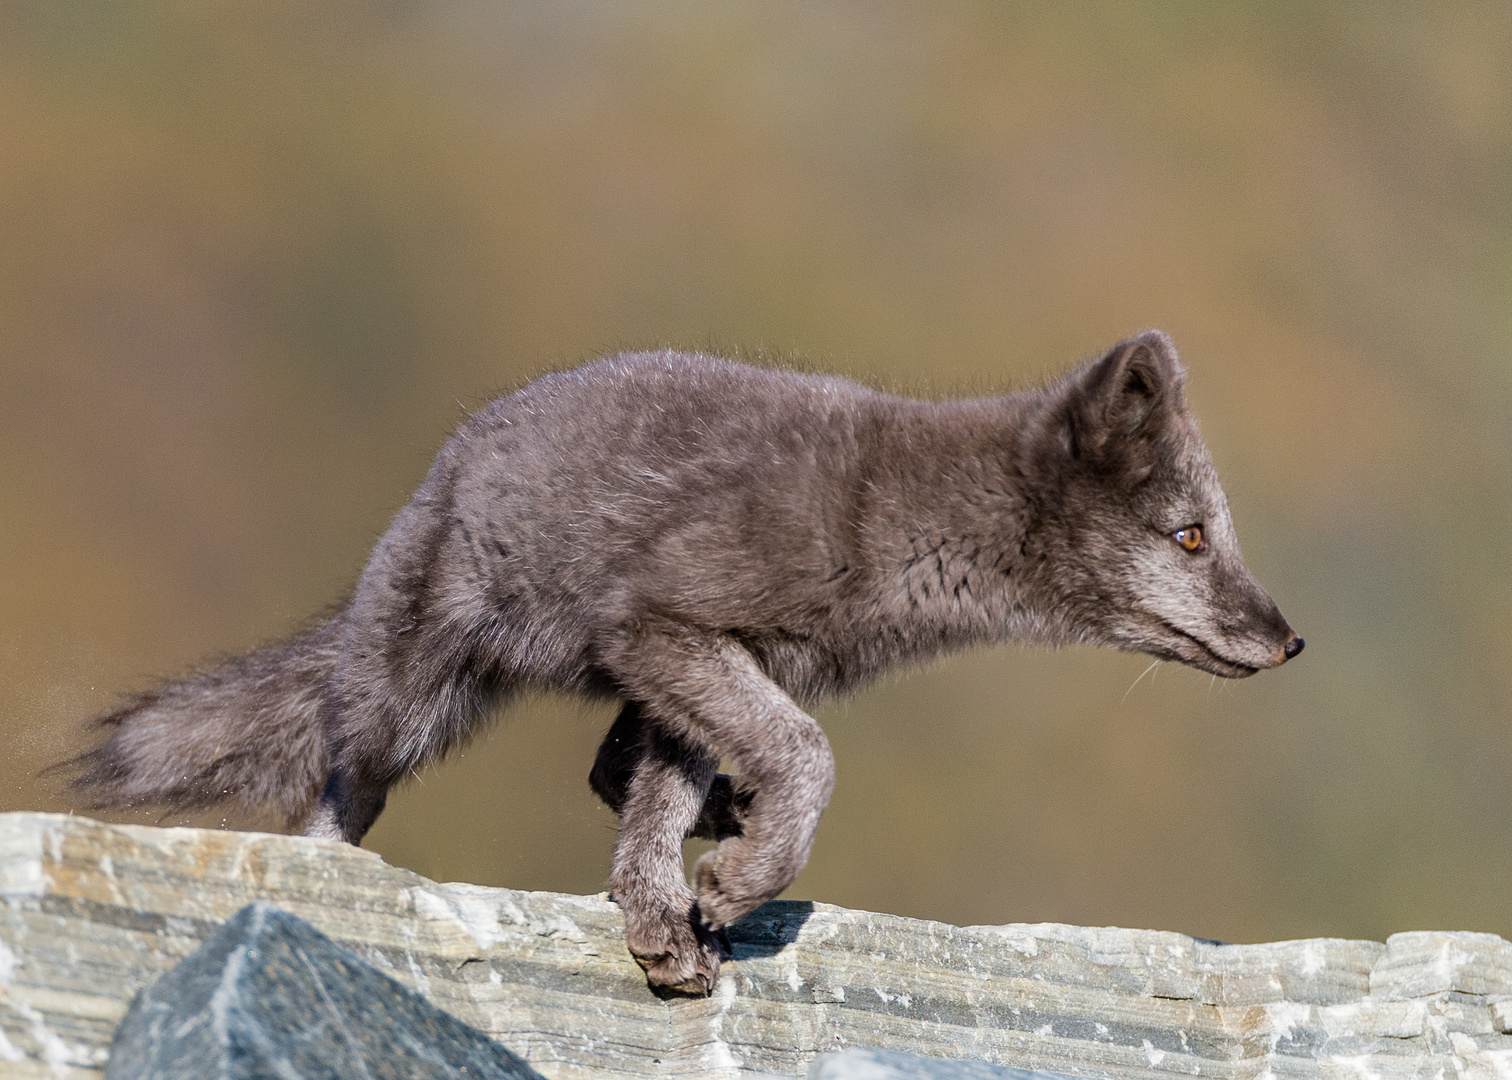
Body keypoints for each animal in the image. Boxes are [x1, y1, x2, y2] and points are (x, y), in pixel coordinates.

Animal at [65, 329, 1306, 992]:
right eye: (1191, 537)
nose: (1291, 639)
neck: (891, 519)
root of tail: (450, 458)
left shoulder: (711, 667)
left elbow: (662, 812)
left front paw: (677, 911)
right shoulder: (668, 628)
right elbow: (807, 760)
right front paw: (741, 881)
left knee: (610, 773)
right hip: (411, 697)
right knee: (332, 779)